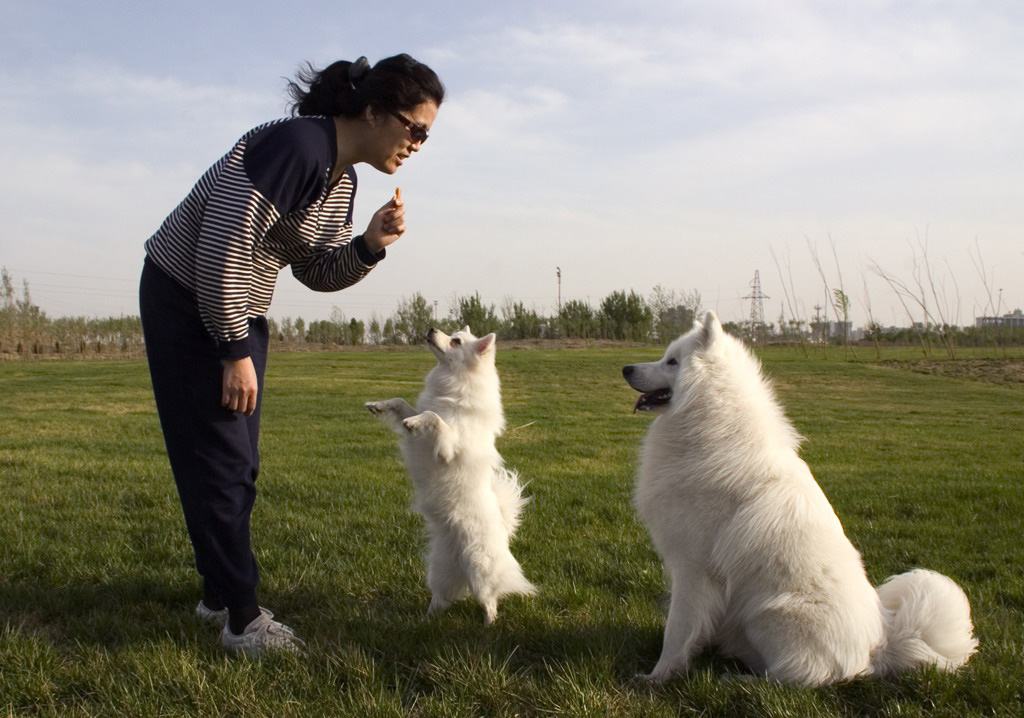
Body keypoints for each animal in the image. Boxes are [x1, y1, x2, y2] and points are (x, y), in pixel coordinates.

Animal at [364, 325, 536, 622]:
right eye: (452, 332)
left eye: (456, 341)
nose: (432, 328)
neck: (453, 383)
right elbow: (404, 403)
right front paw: (380, 405)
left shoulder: (447, 449)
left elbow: (433, 417)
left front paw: (415, 421)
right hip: (439, 570)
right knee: (441, 597)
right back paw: (427, 618)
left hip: (479, 569)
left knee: (489, 599)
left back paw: (490, 624)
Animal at [618, 311, 978, 684]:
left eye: (672, 362)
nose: (626, 368)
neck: (710, 422)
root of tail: (879, 647)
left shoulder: (693, 567)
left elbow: (677, 630)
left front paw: (657, 677)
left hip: (768, 616)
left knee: (794, 676)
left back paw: (739, 679)